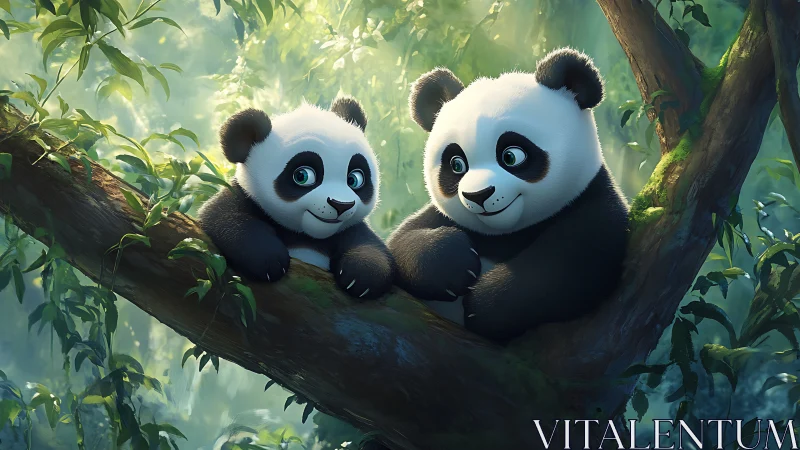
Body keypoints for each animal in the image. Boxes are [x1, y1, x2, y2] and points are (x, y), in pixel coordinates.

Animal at [198, 97, 394, 299]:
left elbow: (370, 245)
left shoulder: (348, 229)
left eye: (354, 179)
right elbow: (224, 217)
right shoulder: (243, 197)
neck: (307, 236)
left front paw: (361, 277)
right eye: (302, 176)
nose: (341, 205)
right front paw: (268, 260)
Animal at [387, 48, 629, 341]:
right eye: (456, 164)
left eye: (511, 156)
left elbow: (565, 266)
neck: (506, 233)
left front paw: (483, 306)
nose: (478, 195)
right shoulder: (441, 219)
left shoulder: (593, 204)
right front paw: (454, 264)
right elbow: (402, 242)